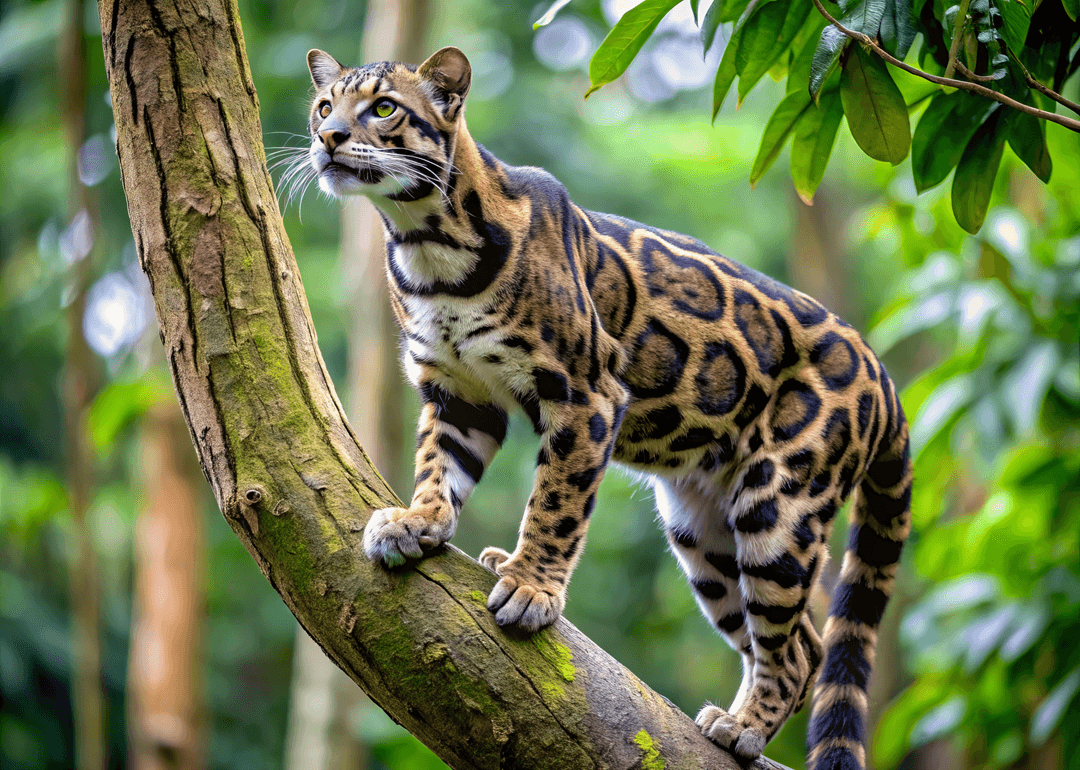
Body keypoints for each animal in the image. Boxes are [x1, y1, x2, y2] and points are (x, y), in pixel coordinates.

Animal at [302, 45, 911, 764]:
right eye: (324, 105)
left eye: (383, 108)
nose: (328, 137)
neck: (424, 243)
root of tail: (880, 372)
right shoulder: (457, 393)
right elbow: (437, 465)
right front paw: (417, 520)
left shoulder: (586, 392)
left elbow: (556, 503)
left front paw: (532, 585)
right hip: (701, 533)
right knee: (798, 642)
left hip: (780, 505)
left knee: (798, 647)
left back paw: (745, 728)